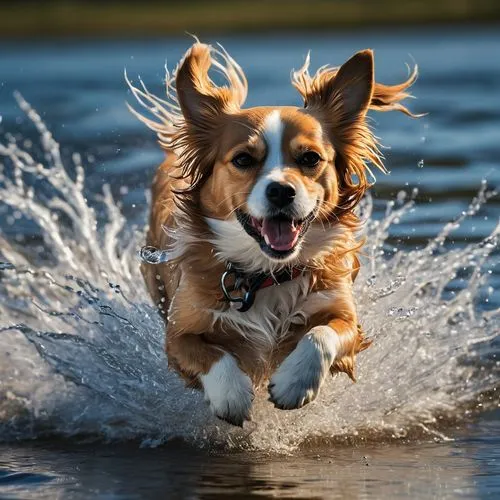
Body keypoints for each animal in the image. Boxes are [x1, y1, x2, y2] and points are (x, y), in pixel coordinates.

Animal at [128, 44, 414, 426]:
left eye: (310, 158)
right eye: (243, 159)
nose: (281, 191)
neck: (266, 272)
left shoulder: (343, 313)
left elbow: (322, 335)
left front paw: (295, 383)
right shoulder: (179, 332)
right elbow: (208, 354)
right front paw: (231, 395)